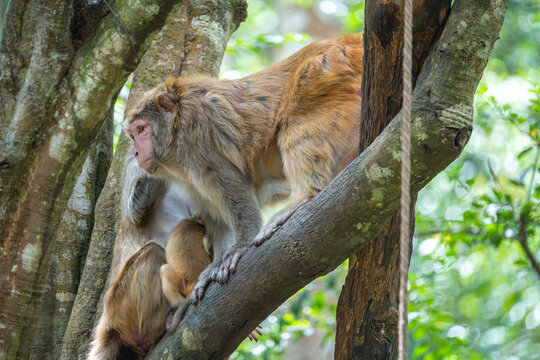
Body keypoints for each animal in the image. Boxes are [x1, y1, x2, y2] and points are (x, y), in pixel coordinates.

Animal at [125, 34, 362, 304]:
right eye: (132, 135)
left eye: (141, 129)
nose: (136, 152)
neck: (176, 125)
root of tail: (343, 41)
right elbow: (213, 211)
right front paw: (216, 263)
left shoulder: (198, 134)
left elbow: (232, 186)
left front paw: (240, 246)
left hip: (324, 71)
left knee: (298, 121)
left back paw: (305, 196)